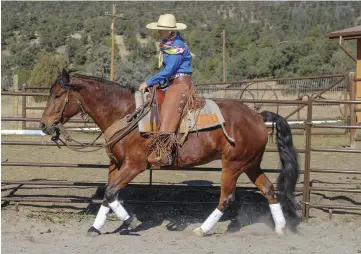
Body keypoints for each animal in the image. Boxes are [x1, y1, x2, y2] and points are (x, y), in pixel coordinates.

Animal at [40, 69, 298, 236]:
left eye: (58, 95)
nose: (44, 124)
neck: (125, 113)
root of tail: (257, 116)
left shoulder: (134, 165)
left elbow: (112, 192)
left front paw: (129, 220)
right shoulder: (116, 164)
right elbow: (108, 193)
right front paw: (95, 227)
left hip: (232, 165)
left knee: (226, 197)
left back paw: (202, 229)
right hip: (250, 163)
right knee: (268, 189)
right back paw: (280, 228)